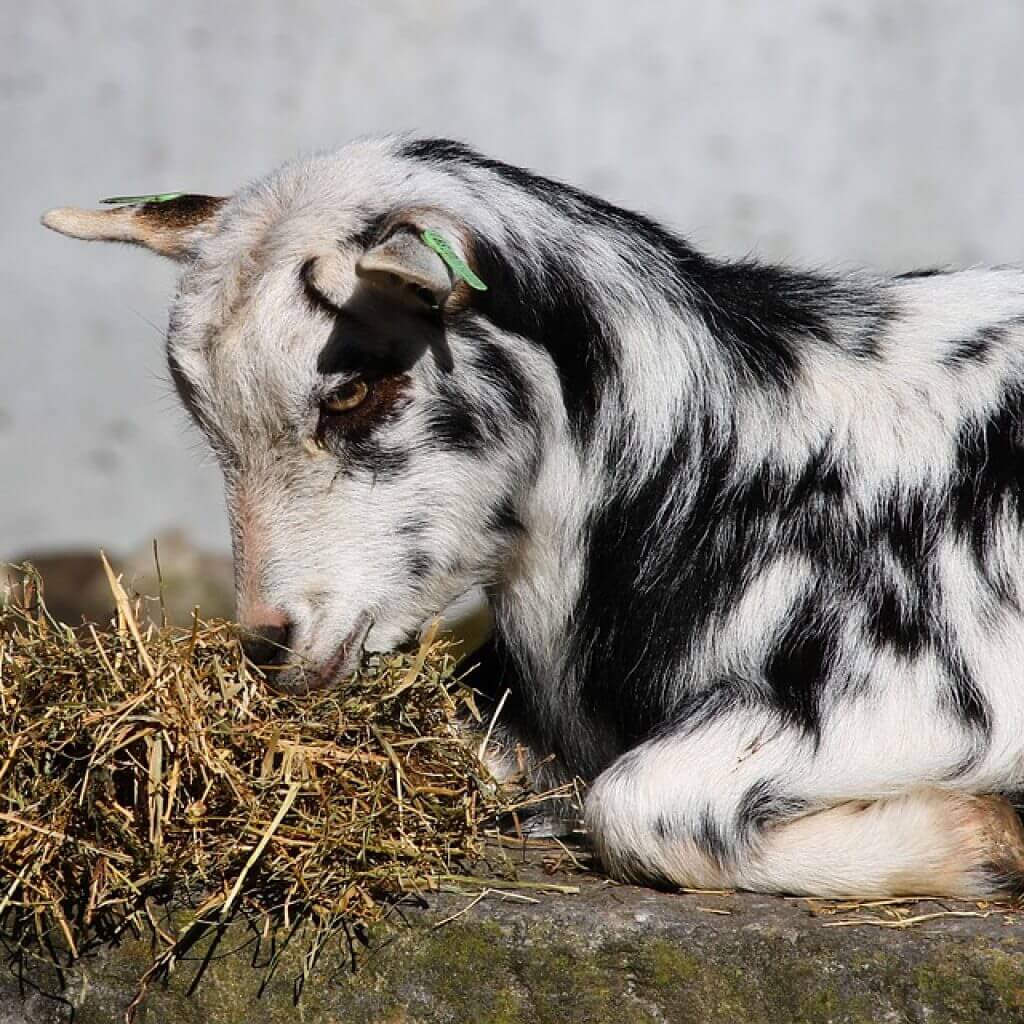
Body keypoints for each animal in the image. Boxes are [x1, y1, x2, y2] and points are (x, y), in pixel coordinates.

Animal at [44, 134, 1024, 897]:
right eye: (205, 423)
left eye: (353, 389)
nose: (266, 640)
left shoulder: (928, 695)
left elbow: (631, 802)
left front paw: (985, 840)